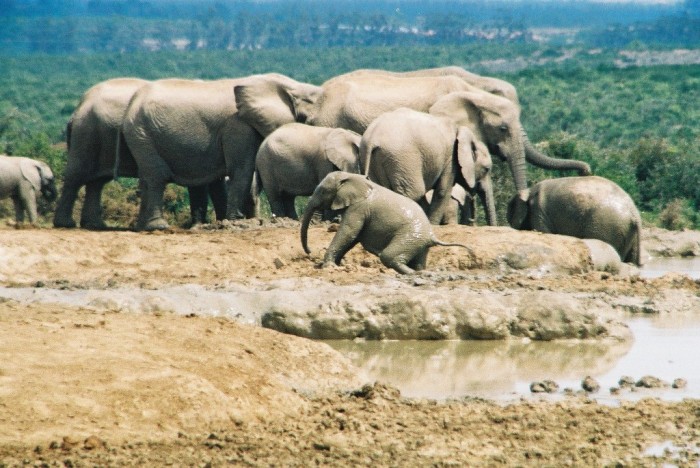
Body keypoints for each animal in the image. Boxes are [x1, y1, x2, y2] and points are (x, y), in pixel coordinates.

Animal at [118, 74, 319, 231]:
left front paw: (229, 221)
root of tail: (133, 100)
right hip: (142, 133)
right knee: (156, 177)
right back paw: (158, 227)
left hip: (140, 134)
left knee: (146, 179)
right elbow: (242, 169)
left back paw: (141, 227)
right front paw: (236, 221)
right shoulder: (238, 126)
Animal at [300, 171, 471, 275]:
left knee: (389, 256)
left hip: (408, 237)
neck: (352, 176)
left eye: (323, 191)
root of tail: (432, 236)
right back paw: (419, 272)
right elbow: (352, 238)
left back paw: (410, 273)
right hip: (419, 243)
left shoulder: (358, 208)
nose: (310, 253)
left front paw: (328, 267)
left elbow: (349, 232)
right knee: (419, 260)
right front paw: (336, 265)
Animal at [360, 107, 496, 226]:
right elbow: (442, 191)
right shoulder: (451, 159)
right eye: (486, 169)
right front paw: (432, 225)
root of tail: (372, 138)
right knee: (413, 193)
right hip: (402, 159)